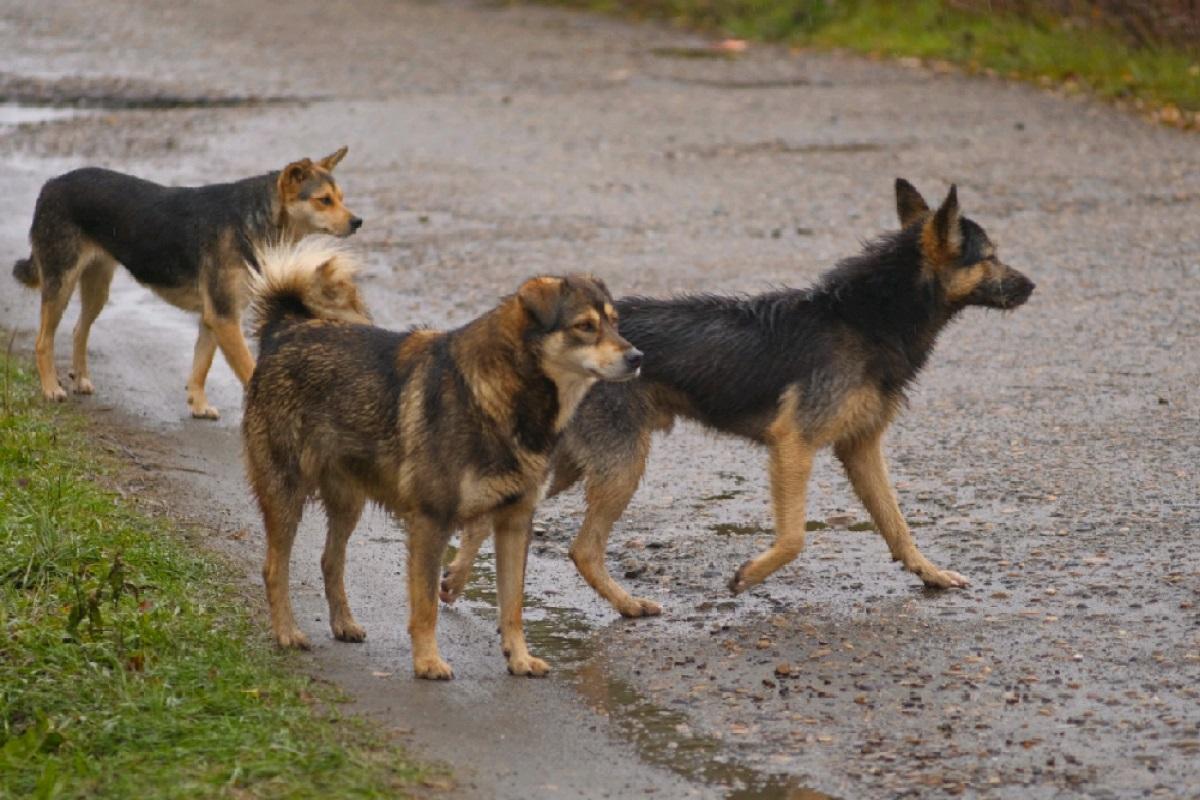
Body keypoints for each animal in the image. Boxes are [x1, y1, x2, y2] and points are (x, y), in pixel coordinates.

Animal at [11, 146, 360, 419]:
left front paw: (198, 404)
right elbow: (248, 370)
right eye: (323, 200)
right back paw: (51, 388)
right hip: (61, 283)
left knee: (78, 330)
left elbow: (201, 367)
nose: (358, 222)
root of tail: (51, 184)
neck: (253, 220)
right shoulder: (224, 316)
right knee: (44, 340)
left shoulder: (215, 317)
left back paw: (81, 378)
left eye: (342, 198)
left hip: (97, 287)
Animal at [446, 179, 1036, 618]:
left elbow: (897, 523)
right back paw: (628, 604)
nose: (1032, 286)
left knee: (485, 516)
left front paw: (928, 572)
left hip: (571, 462)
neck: (867, 317)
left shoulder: (861, 448)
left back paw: (454, 580)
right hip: (619, 464)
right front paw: (750, 575)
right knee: (581, 548)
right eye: (991, 256)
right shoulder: (793, 444)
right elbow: (795, 537)